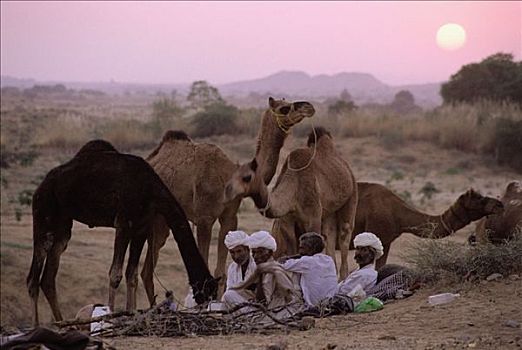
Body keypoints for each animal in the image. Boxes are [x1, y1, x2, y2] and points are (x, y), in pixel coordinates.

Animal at [27, 139, 217, 326]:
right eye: (207, 292)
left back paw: (62, 323)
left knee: (48, 277)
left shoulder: (141, 226)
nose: (205, 308)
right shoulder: (123, 223)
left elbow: (131, 274)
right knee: (33, 276)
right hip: (43, 211)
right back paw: (36, 326)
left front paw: (131, 313)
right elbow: (115, 274)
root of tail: (40, 187)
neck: (151, 189)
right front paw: (110, 318)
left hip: (63, 224)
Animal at [140, 96, 312, 304]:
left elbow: (220, 270)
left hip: (162, 221)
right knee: (144, 269)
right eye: (284, 108)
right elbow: (204, 264)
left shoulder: (229, 216)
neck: (230, 174)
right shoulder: (204, 218)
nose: (308, 108)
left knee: (146, 270)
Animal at [223, 126, 358, 278]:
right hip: (329, 212)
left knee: (344, 236)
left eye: (247, 177)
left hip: (351, 196)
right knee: (330, 235)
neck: (294, 189)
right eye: (231, 175)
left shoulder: (313, 217)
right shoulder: (286, 220)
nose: (228, 191)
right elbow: (292, 250)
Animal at [270, 180, 502, 268]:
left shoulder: (387, 241)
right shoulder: (380, 234)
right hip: (289, 233)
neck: (400, 214)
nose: (499, 204)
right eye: (480, 199)